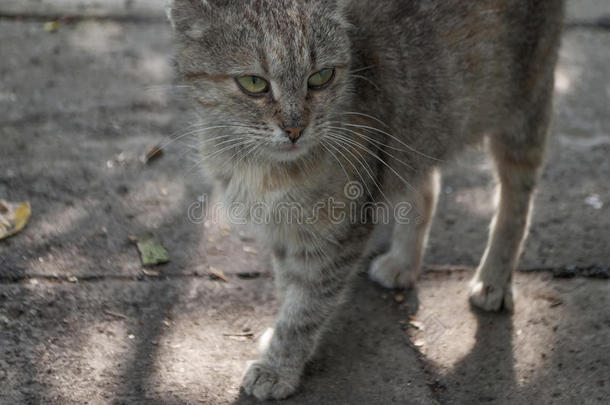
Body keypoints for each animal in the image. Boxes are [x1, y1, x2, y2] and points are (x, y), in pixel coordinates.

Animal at [169, 0, 564, 398]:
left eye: (321, 77)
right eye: (254, 84)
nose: (295, 129)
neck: (264, 166)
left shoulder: (337, 234)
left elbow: (305, 308)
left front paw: (279, 365)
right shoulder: (283, 228)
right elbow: (287, 286)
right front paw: (281, 343)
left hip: (525, 109)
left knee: (515, 204)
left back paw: (494, 279)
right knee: (426, 186)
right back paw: (404, 262)